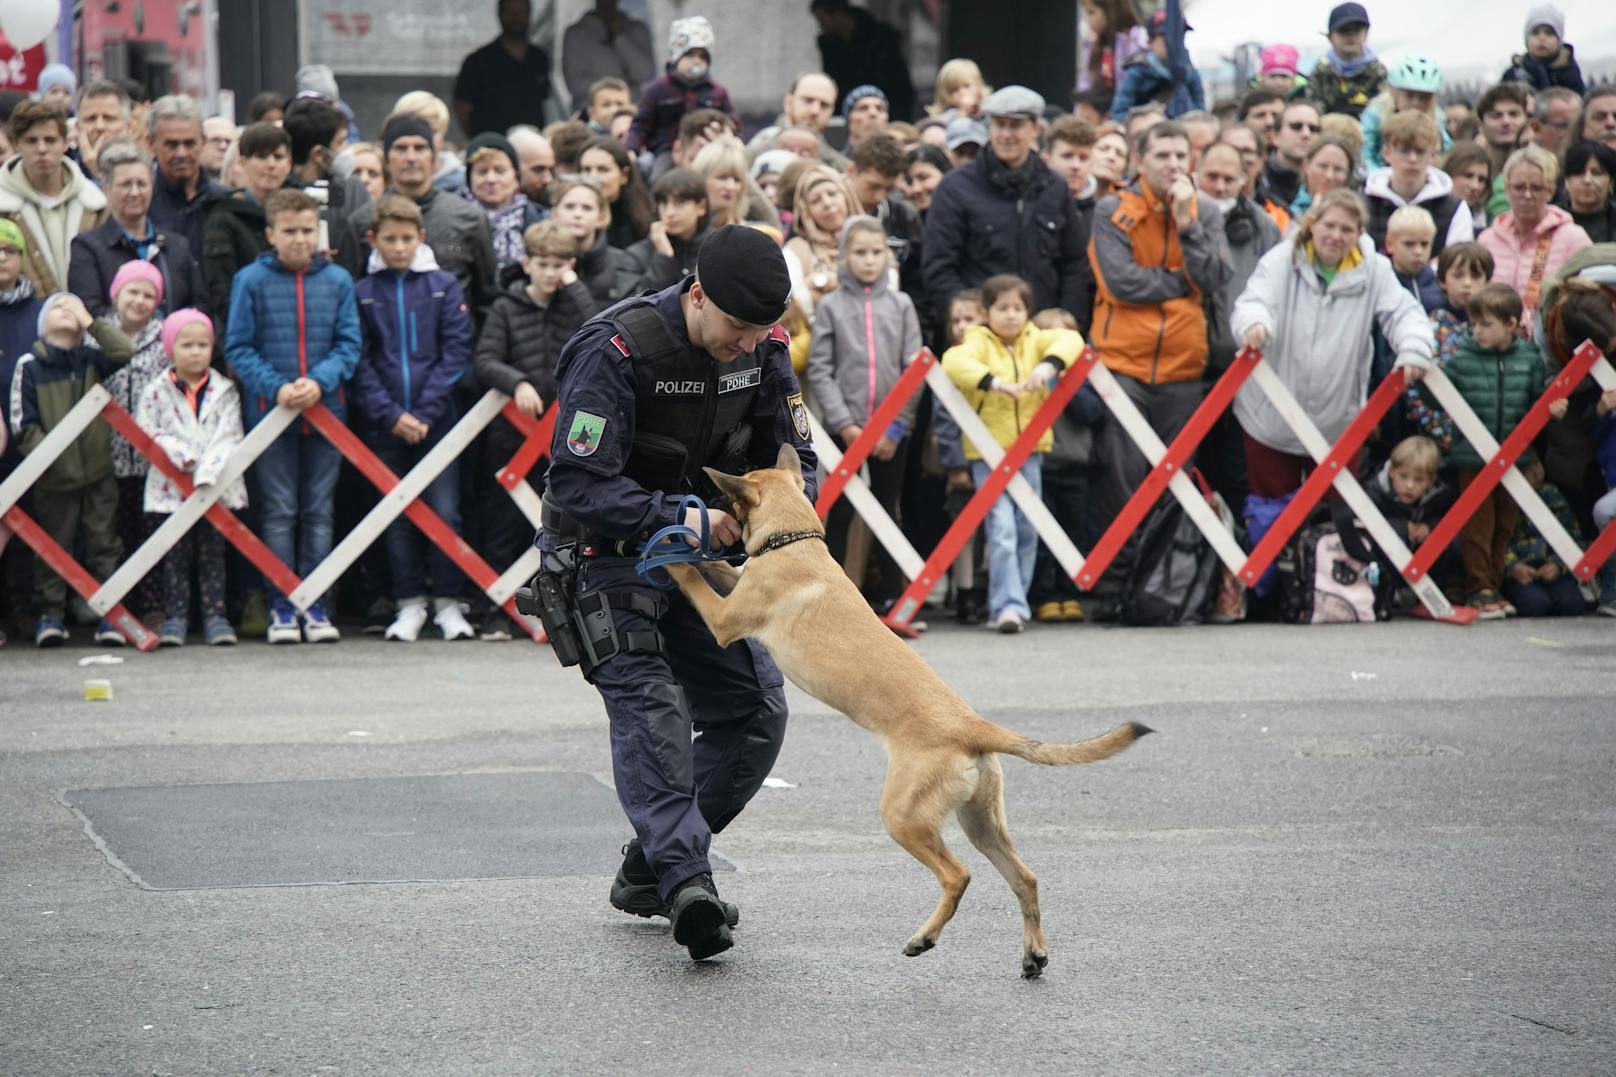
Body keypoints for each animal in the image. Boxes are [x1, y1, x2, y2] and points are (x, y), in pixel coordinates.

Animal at [662, 439, 1157, 976]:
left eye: (729, 493)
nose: (699, 498)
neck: (794, 540)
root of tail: (974, 727)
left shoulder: (723, 618)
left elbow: (693, 577)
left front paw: (669, 554)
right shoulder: (734, 583)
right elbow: (717, 568)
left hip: (905, 817)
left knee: (958, 875)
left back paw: (924, 937)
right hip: (981, 824)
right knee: (1025, 878)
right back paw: (1032, 955)